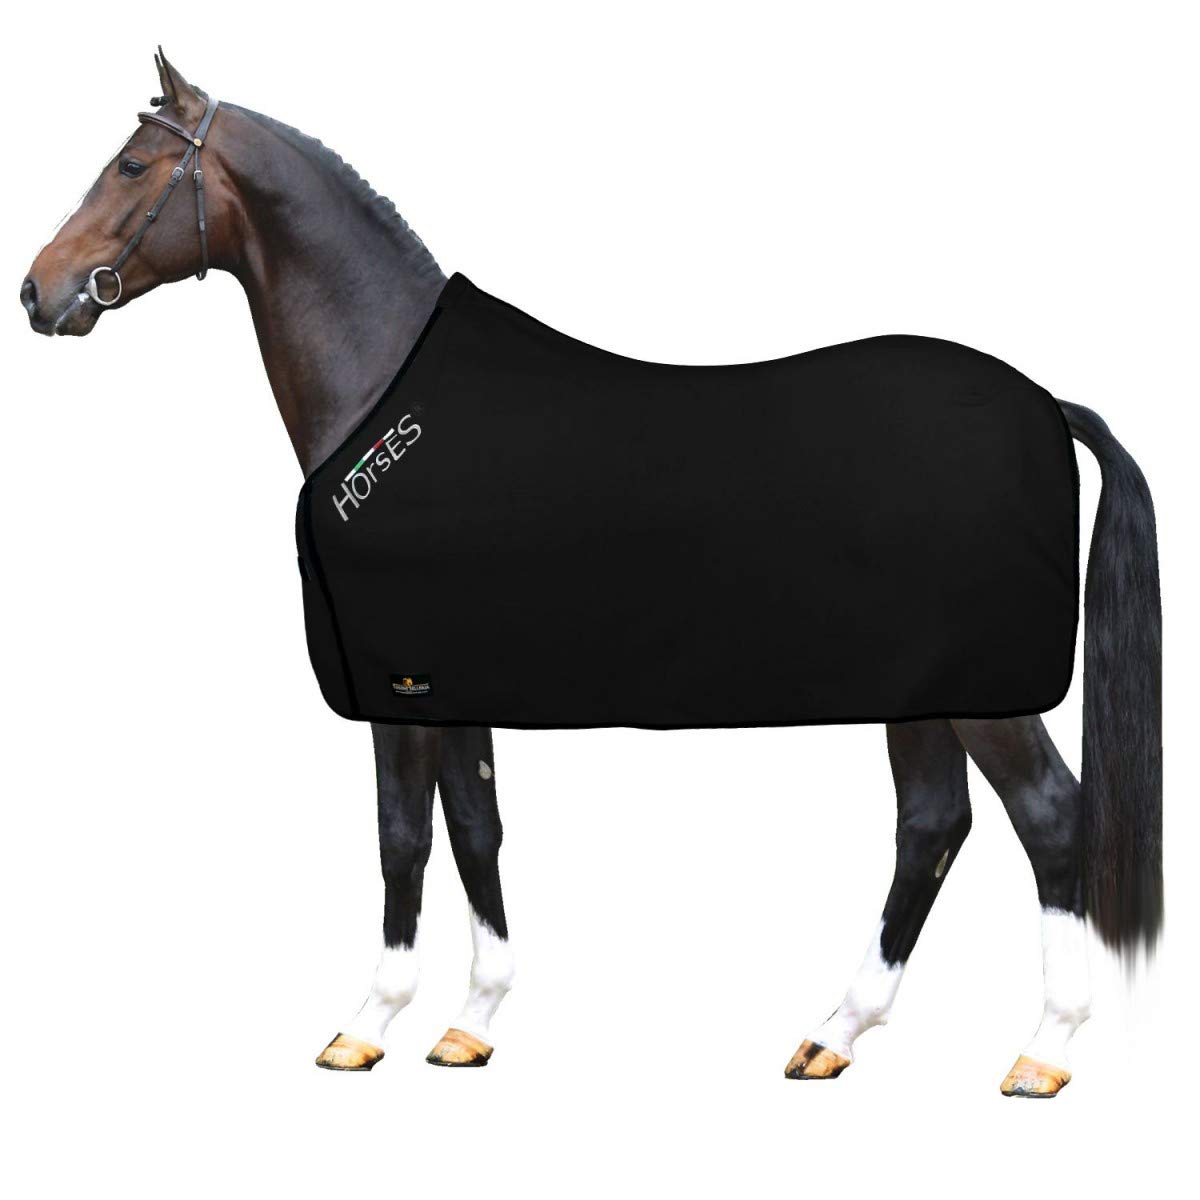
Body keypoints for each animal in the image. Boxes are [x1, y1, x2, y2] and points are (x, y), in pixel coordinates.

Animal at [20, 50, 1161, 1095]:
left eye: (131, 165)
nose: (39, 290)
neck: (392, 399)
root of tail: (1046, 405)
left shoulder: (395, 685)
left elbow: (403, 836)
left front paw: (368, 1023)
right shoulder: (450, 683)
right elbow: (475, 828)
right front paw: (471, 1022)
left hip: (983, 693)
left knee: (1048, 818)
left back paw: (1043, 1052)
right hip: (921, 690)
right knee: (933, 826)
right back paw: (833, 1034)